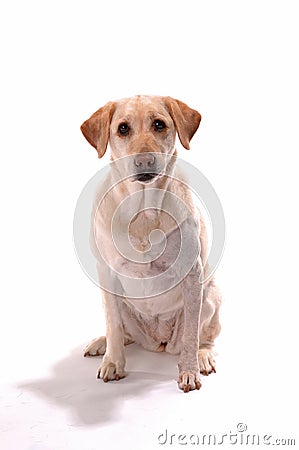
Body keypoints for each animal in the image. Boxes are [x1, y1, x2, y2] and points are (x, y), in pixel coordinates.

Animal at [81, 96, 221, 394]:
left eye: (159, 124)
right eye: (123, 128)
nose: (145, 160)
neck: (143, 213)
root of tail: (158, 342)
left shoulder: (192, 276)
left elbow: (192, 335)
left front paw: (189, 371)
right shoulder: (106, 272)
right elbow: (112, 325)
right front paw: (113, 363)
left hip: (210, 295)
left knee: (204, 337)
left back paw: (203, 356)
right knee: (120, 330)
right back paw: (102, 343)